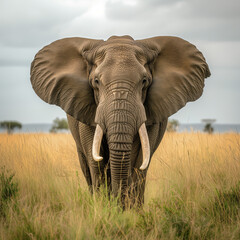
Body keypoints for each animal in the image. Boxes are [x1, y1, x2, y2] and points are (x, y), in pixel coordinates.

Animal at [30, 34, 210, 207]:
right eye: (96, 81)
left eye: (144, 81)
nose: (119, 204)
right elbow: (97, 163)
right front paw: (105, 209)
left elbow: (138, 162)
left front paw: (130, 212)